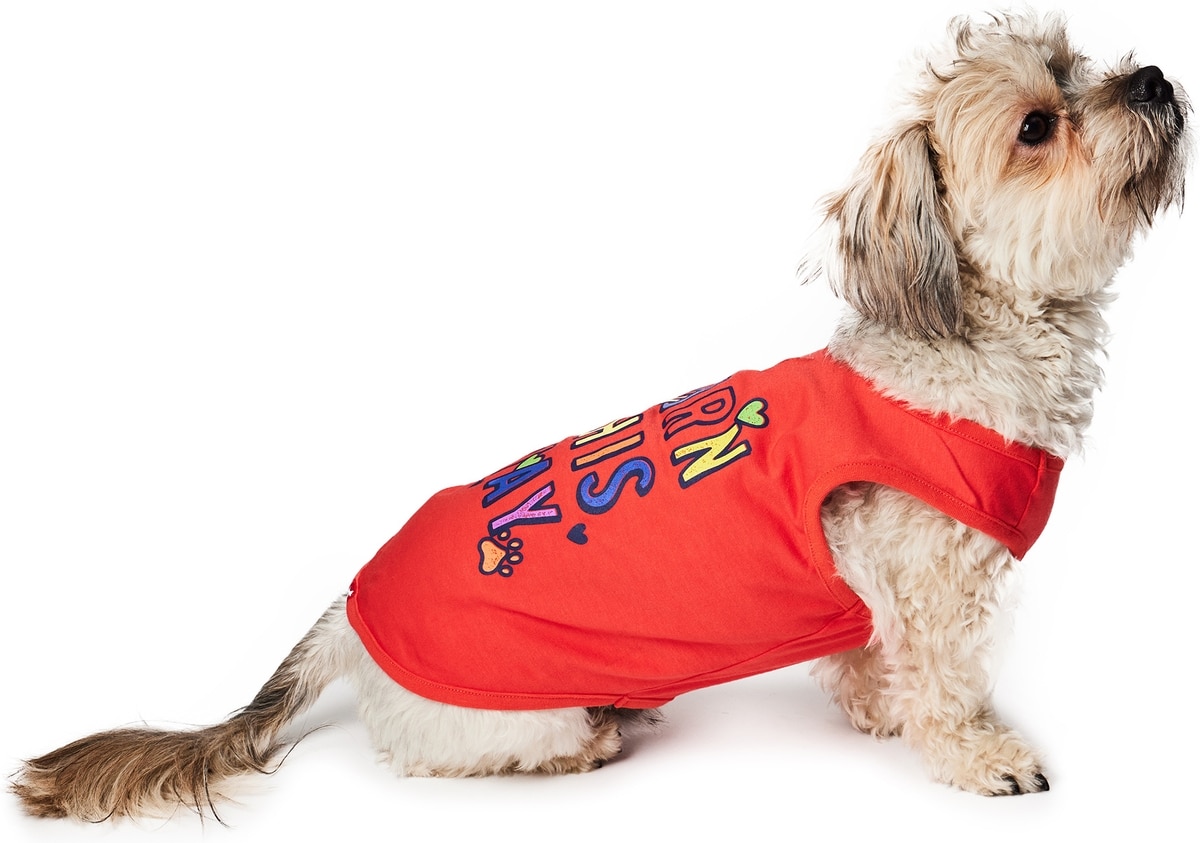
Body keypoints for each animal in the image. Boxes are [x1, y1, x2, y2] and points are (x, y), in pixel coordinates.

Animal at [12, 11, 1189, 820]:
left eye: (1079, 61)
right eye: (1037, 126)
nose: (1154, 77)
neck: (960, 346)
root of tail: (347, 614)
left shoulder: (877, 601)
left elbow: (870, 665)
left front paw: (876, 712)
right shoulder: (935, 589)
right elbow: (945, 685)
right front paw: (978, 753)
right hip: (520, 713)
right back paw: (600, 736)